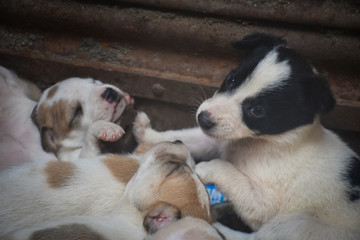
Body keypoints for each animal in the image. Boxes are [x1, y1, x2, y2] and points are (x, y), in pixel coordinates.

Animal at [134, 32, 360, 239]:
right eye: (232, 79)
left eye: (257, 110)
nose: (203, 119)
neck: (261, 142)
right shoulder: (219, 140)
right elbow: (188, 138)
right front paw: (147, 134)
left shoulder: (264, 204)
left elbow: (227, 171)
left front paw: (204, 168)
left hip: (296, 223)